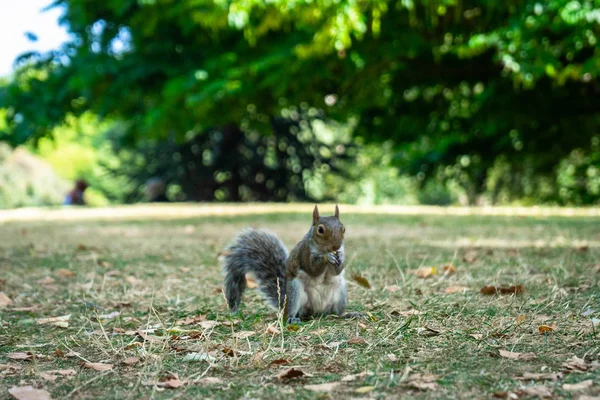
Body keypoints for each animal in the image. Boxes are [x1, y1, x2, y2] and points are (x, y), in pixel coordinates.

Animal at [221, 205, 358, 324]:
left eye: (343, 229)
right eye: (320, 230)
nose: (336, 246)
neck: (323, 249)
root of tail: (317, 311)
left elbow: (337, 271)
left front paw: (341, 257)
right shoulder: (305, 252)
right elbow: (313, 269)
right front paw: (327, 257)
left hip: (340, 291)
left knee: (337, 312)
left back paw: (348, 314)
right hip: (295, 292)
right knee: (290, 313)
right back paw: (292, 318)